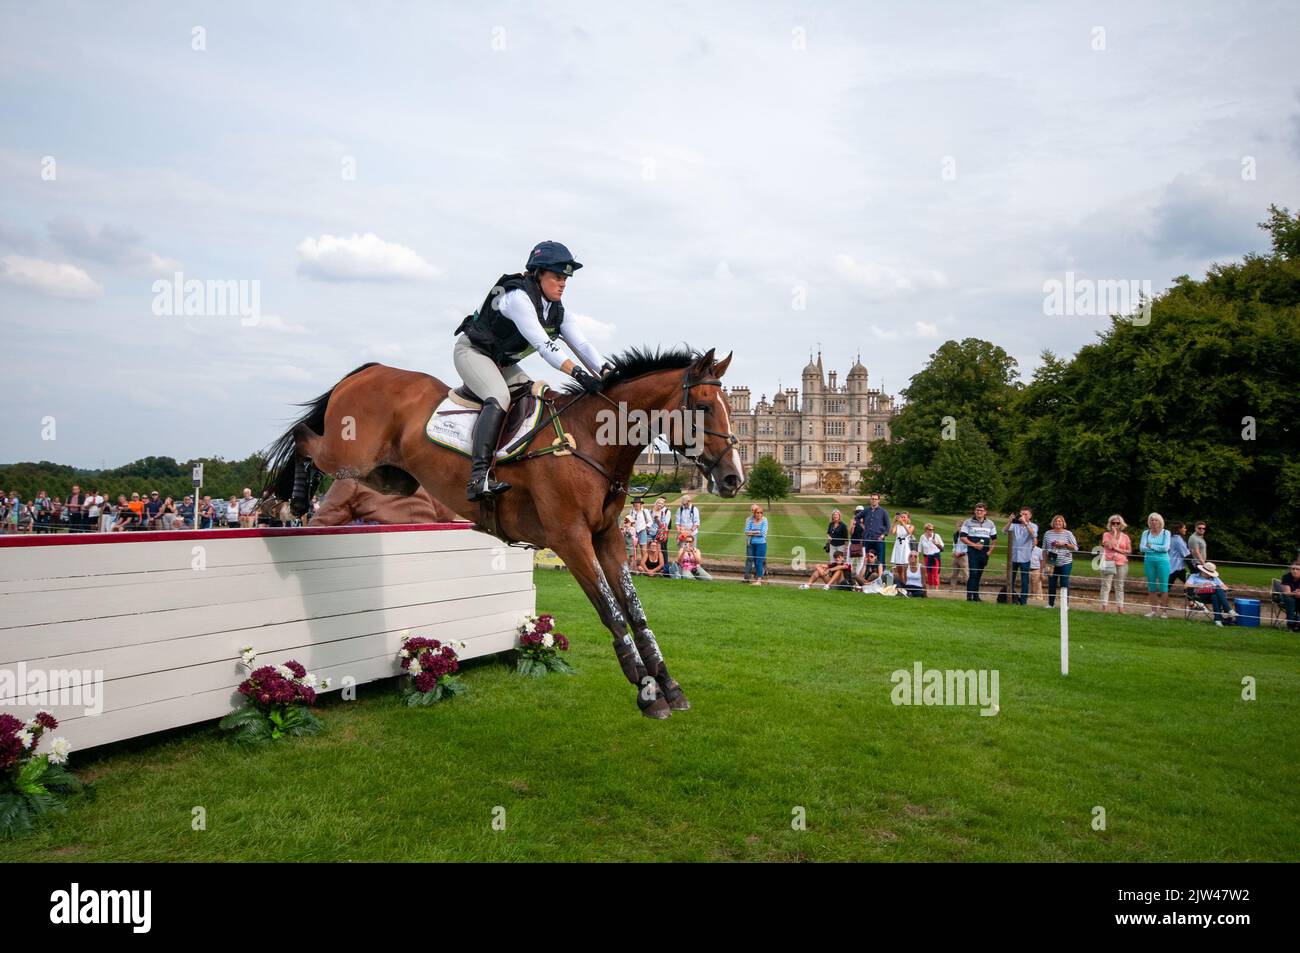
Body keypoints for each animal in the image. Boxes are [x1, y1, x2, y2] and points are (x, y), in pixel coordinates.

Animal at [261, 345, 743, 717]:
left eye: (729, 410)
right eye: (703, 408)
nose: (733, 479)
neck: (591, 441)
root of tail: (372, 369)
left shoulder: (606, 537)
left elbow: (635, 610)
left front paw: (667, 684)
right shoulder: (571, 539)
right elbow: (610, 610)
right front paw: (645, 690)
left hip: (389, 476)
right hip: (350, 455)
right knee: (304, 437)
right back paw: (292, 499)